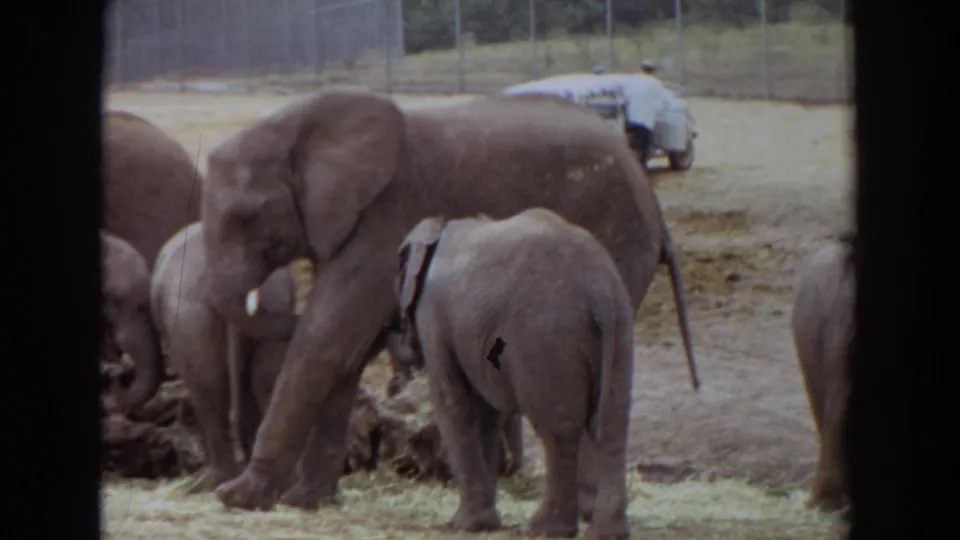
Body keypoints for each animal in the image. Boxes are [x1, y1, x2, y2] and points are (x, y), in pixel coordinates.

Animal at [393, 209, 637, 538]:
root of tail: (598, 287)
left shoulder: (433, 313)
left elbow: (454, 403)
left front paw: (466, 525)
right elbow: (486, 413)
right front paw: (483, 522)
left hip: (545, 339)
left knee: (558, 430)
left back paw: (543, 528)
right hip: (621, 327)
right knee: (611, 422)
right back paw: (607, 533)